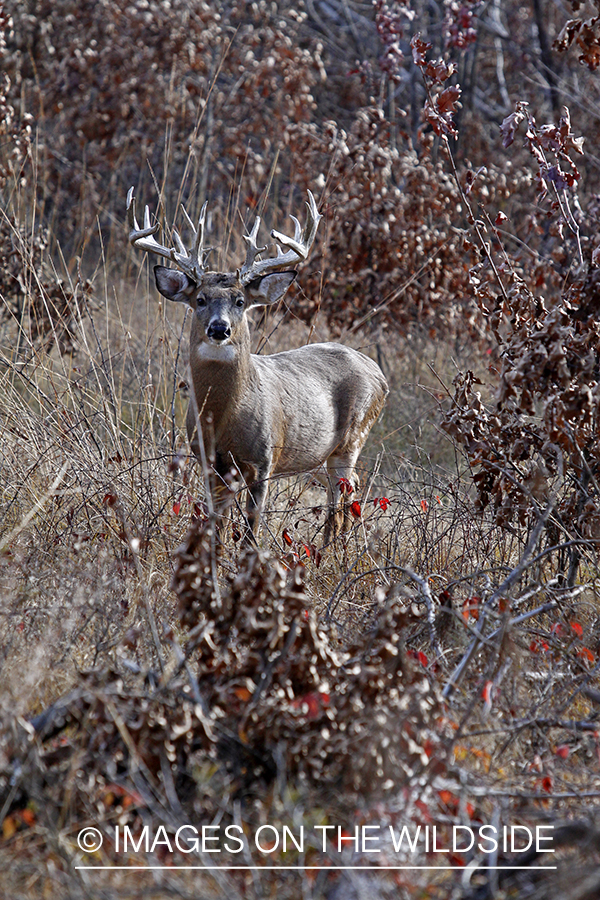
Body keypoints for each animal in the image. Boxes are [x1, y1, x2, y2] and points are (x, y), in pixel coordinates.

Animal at [127, 186, 390, 544]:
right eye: (200, 300)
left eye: (240, 301)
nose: (219, 329)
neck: (224, 418)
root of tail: (378, 373)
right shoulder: (210, 462)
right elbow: (216, 527)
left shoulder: (264, 459)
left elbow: (252, 531)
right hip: (322, 453)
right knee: (350, 492)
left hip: (353, 437)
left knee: (341, 498)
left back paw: (331, 549)